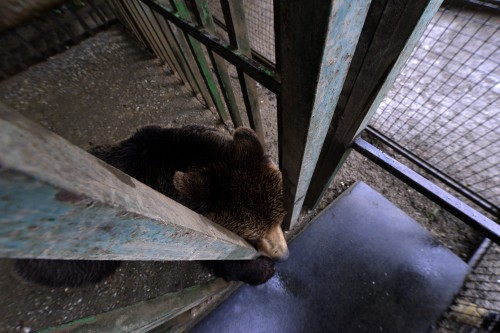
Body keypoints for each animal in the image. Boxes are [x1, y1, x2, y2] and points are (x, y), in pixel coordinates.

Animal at [16, 124, 290, 286]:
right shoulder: (188, 221)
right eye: (251, 234)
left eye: (279, 219)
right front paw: (261, 268)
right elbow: (216, 256)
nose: (283, 254)